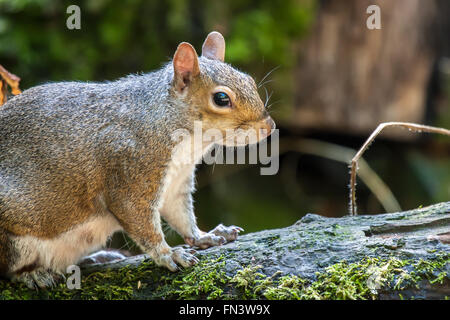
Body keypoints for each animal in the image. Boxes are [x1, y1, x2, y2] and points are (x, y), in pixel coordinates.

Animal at [0, 31, 274, 288]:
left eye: (249, 80)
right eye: (221, 99)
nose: (268, 127)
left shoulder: (175, 183)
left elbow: (181, 216)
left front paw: (205, 236)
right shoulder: (131, 173)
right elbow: (140, 221)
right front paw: (168, 254)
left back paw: (97, 257)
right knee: (9, 269)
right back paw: (33, 275)